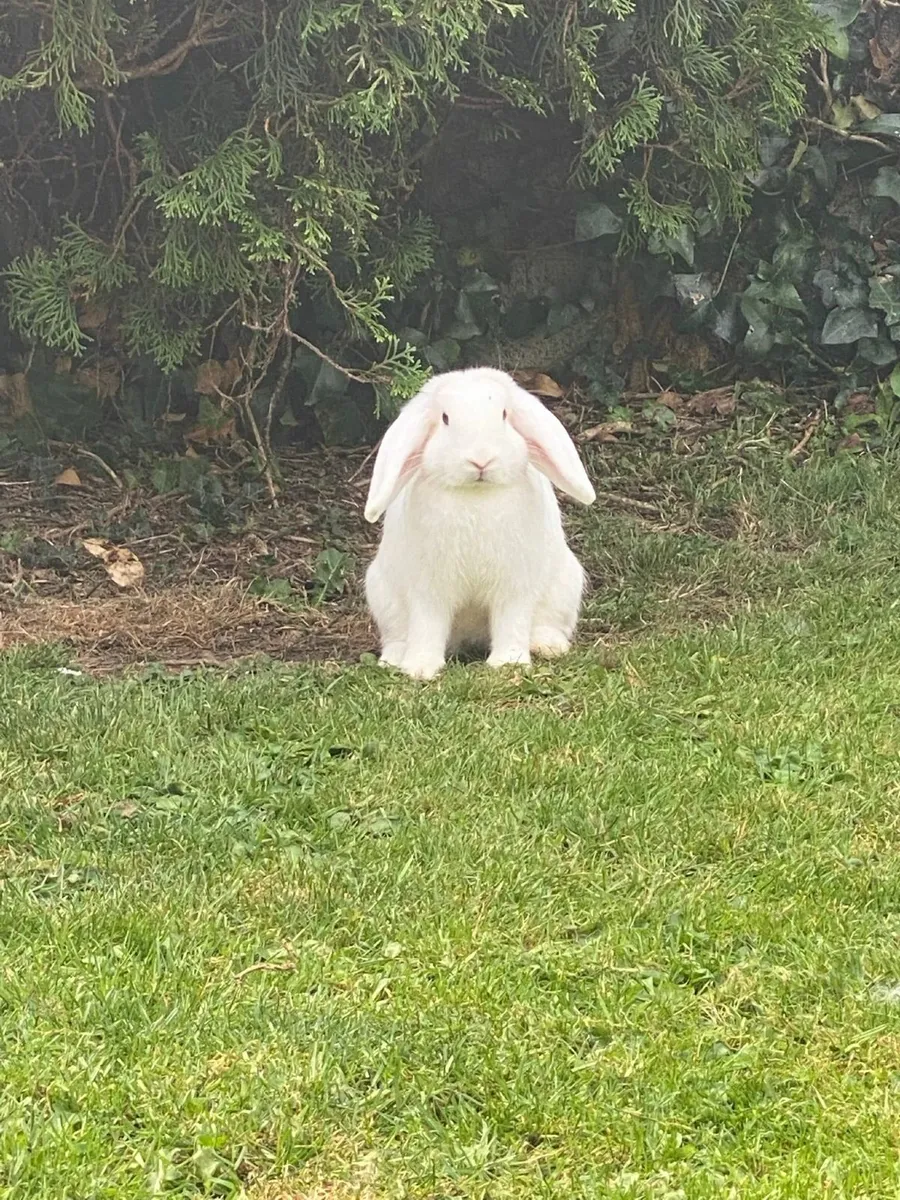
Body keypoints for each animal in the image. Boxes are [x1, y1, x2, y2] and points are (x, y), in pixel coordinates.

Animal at [363, 366, 596, 680]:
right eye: (445, 418)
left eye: (504, 414)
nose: (481, 459)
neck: (476, 494)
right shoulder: (429, 590)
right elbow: (427, 625)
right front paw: (420, 668)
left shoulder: (514, 586)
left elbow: (511, 621)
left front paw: (509, 663)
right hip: (382, 594)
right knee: (398, 634)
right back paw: (396, 658)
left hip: (565, 586)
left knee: (546, 623)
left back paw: (547, 646)